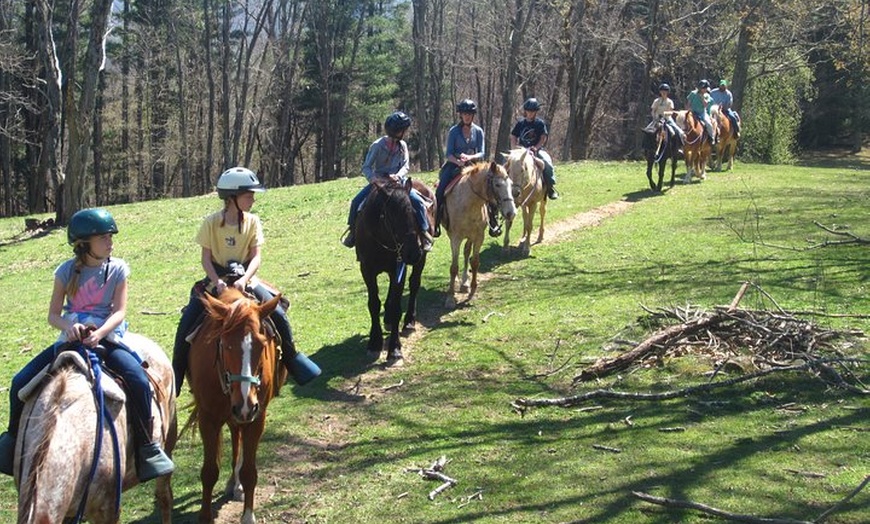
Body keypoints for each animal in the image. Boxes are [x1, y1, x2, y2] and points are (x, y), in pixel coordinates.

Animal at [189, 286, 288, 524]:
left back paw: (236, 484)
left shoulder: (256, 418)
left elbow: (250, 472)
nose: (245, 404)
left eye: (262, 344)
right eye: (225, 344)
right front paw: (205, 516)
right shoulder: (208, 418)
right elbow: (209, 472)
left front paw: (248, 516)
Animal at [354, 176, 436, 364]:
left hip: (418, 261)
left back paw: (409, 321)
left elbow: (397, 306)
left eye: (414, 212)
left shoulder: (400, 267)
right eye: (392, 215)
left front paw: (395, 349)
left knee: (414, 284)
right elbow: (374, 304)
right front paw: (374, 343)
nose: (413, 252)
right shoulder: (367, 270)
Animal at [442, 161, 516, 308]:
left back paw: (464, 283)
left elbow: (475, 262)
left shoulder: (478, 237)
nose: (511, 213)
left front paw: (472, 290)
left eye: (511, 184)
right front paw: (450, 298)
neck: (469, 203)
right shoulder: (455, 238)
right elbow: (454, 267)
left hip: (470, 236)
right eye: (497, 184)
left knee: (466, 252)